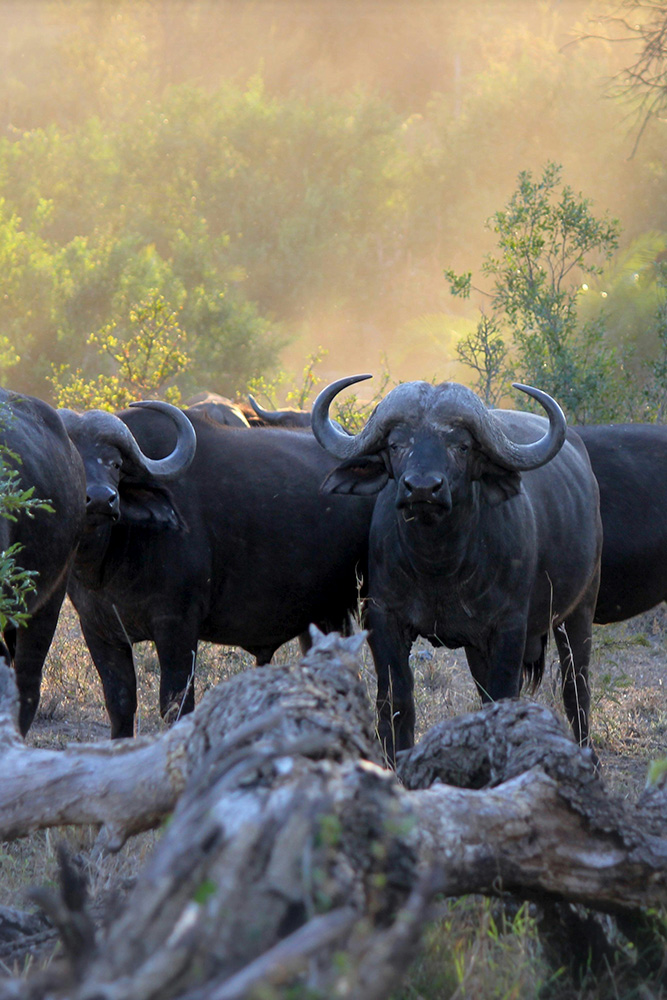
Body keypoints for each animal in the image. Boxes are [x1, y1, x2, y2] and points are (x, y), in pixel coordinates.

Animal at [61, 402, 376, 740]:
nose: (101, 499)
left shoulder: (177, 626)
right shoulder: (98, 631)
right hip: (321, 617)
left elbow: (175, 705)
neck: (109, 562)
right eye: (73, 460)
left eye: (116, 464)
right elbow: (119, 705)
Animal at [310, 376, 604, 756]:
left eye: (461, 446)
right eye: (396, 444)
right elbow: (395, 702)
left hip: (580, 609)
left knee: (576, 690)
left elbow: (502, 697)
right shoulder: (384, 617)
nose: (422, 488)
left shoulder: (509, 627)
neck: (439, 565)